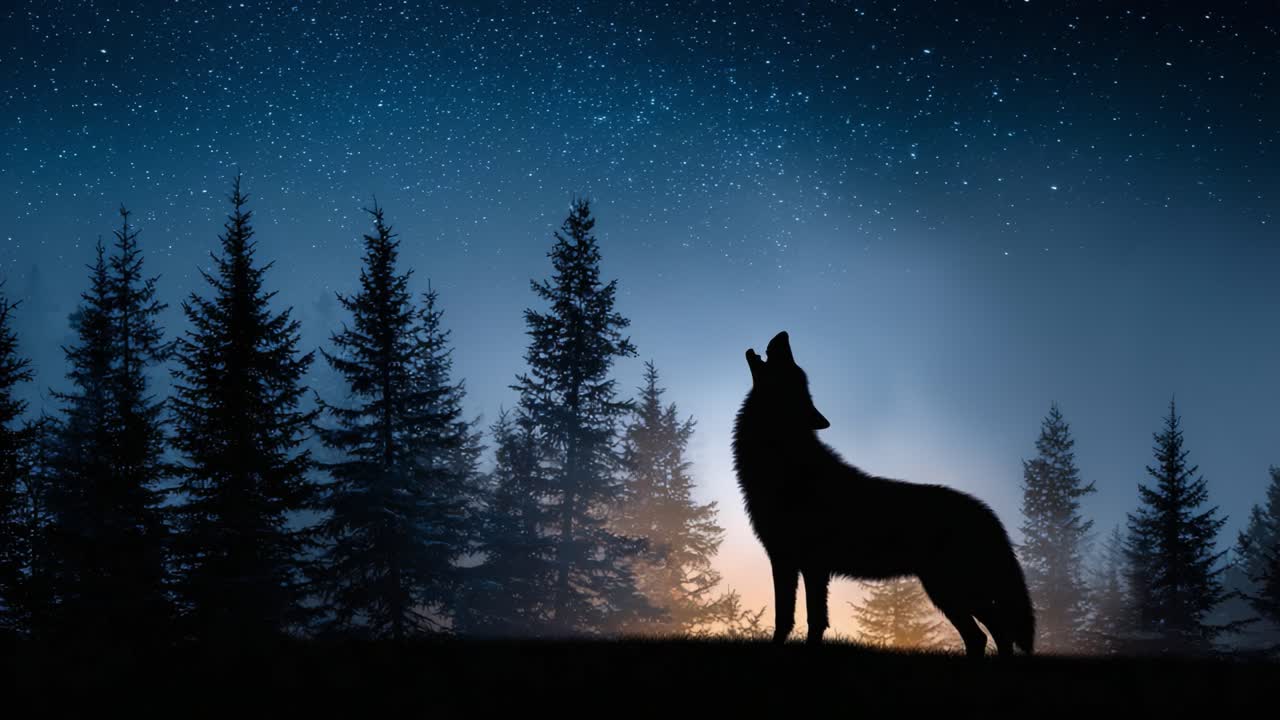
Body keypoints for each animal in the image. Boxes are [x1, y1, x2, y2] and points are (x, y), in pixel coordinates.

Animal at [732, 331, 1034, 657]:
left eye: (794, 369)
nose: (784, 334)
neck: (782, 459)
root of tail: (986, 511)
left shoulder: (810, 565)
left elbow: (811, 619)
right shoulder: (786, 560)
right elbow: (786, 618)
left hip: (950, 590)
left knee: (993, 632)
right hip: (947, 592)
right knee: (985, 635)